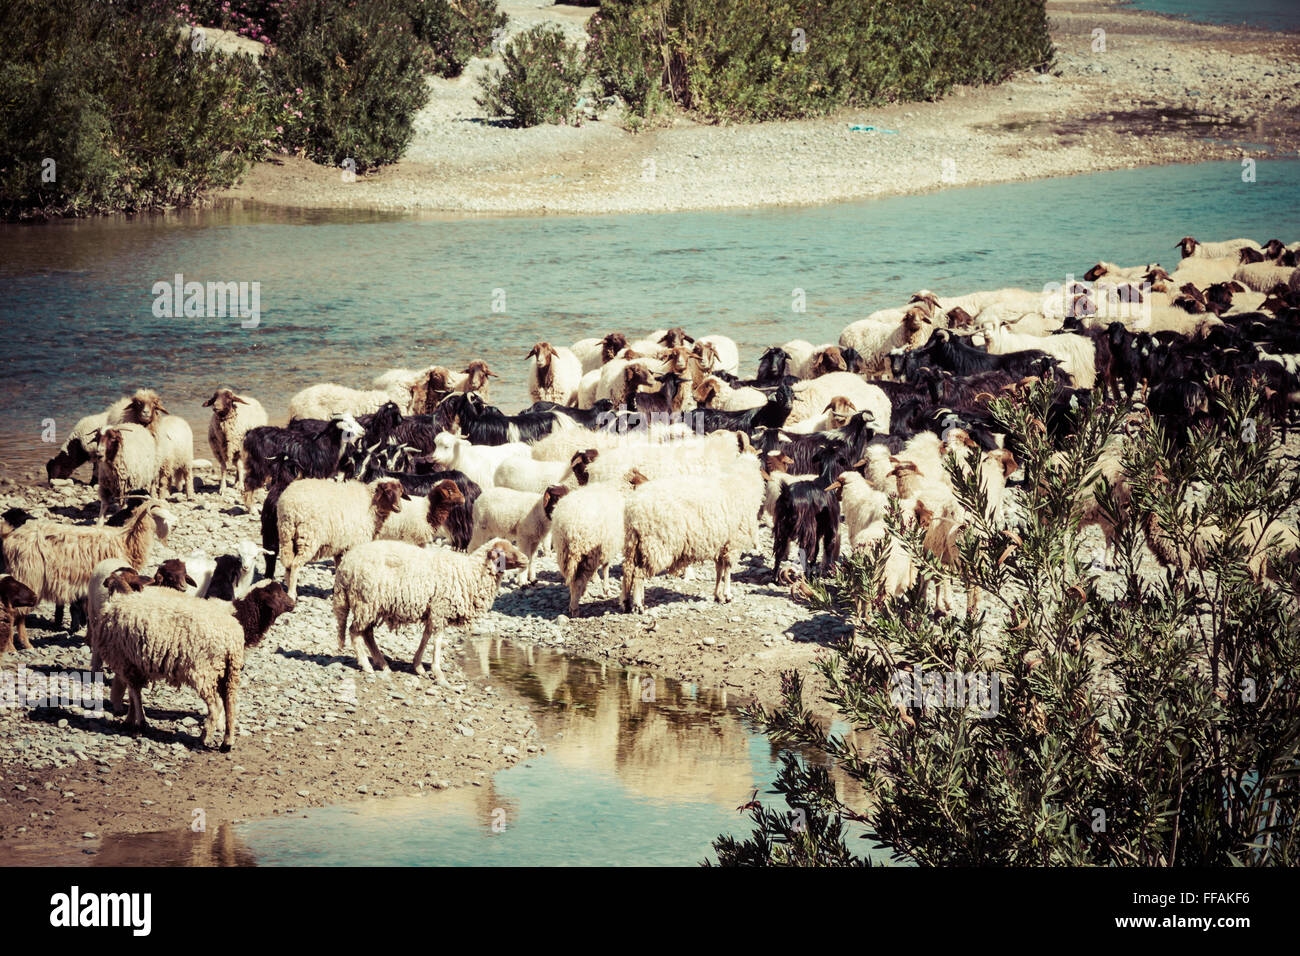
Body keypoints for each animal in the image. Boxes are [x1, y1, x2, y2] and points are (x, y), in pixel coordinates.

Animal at [0, 502, 175, 650]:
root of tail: (9, 539)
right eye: (162, 516)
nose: (174, 524)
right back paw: (16, 646)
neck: (126, 541)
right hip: (27, 578)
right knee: (14, 613)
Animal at [98, 580, 297, 749]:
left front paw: (136, 722)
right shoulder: (129, 661)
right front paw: (136, 721)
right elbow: (135, 694)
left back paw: (214, 738)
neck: (239, 614)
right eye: (277, 593)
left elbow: (135, 693)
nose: (294, 604)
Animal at [276, 476, 408, 598]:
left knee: (288, 564)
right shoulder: (354, 544)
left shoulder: (341, 547)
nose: (399, 508)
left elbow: (339, 569)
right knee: (295, 564)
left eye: (400, 492)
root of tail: (290, 505)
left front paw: (336, 591)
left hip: (286, 535)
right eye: (387, 491)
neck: (371, 502)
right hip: (308, 537)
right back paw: (292, 594)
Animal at [332, 538, 530, 686]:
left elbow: (426, 636)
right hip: (366, 601)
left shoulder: (433, 610)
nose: (526, 559)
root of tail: (345, 564)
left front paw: (418, 666)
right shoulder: (441, 608)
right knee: (354, 632)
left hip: (374, 605)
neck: (470, 573)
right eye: (504, 551)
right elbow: (437, 641)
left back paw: (382, 664)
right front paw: (438, 672)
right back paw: (367, 665)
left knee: (367, 633)